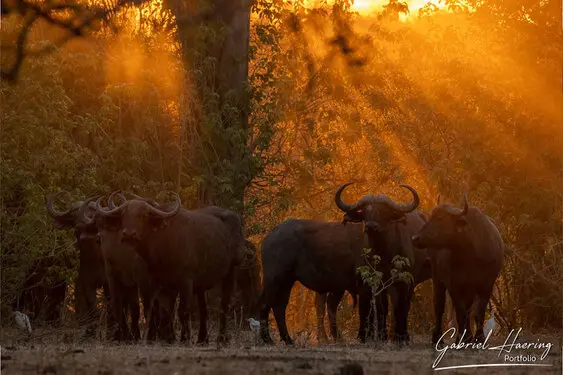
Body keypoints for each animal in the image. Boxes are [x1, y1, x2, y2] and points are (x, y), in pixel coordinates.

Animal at [46, 194, 113, 334]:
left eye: (89, 212)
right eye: (72, 216)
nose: (78, 227)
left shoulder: (108, 282)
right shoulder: (85, 281)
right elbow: (89, 305)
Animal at [93, 195, 246, 346]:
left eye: (144, 215)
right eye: (124, 214)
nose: (129, 234)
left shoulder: (186, 282)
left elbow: (182, 311)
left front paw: (184, 339)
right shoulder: (156, 284)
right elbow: (158, 311)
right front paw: (159, 338)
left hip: (231, 270)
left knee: (224, 305)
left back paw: (222, 338)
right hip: (201, 284)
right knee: (203, 309)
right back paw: (202, 339)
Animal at [410, 195, 506, 346]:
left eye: (440, 218)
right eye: (431, 216)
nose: (415, 238)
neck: (470, 254)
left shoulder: (487, 285)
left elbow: (478, 312)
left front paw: (479, 337)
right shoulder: (454, 285)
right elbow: (460, 312)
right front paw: (462, 338)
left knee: (468, 310)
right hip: (437, 278)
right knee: (439, 306)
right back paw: (438, 337)